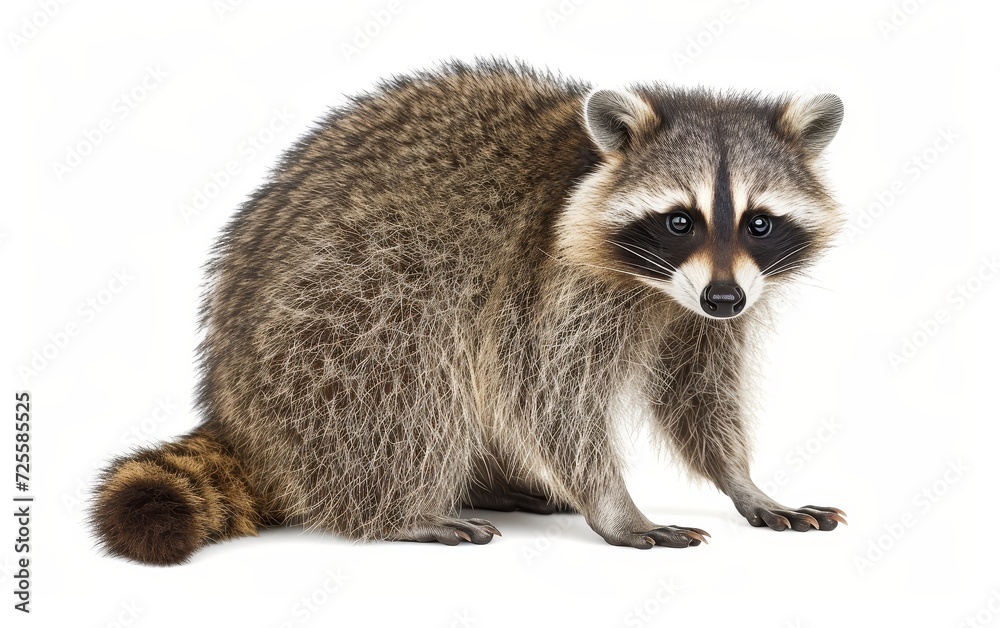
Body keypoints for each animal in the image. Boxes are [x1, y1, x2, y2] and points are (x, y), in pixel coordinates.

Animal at [92, 61, 844, 568]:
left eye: (759, 223)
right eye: (679, 220)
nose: (724, 300)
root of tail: (234, 411)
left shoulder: (707, 307)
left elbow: (698, 393)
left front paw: (744, 482)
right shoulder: (548, 275)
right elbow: (547, 393)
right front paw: (615, 506)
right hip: (324, 324)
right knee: (409, 365)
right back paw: (396, 510)